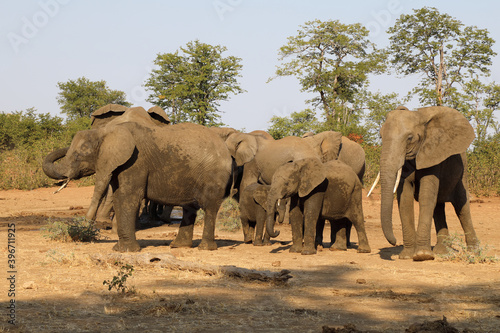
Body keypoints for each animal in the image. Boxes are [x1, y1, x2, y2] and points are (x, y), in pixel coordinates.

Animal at [42, 107, 232, 250]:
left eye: (78, 155)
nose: (82, 227)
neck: (105, 133)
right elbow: (119, 196)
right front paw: (119, 249)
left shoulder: (135, 162)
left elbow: (127, 197)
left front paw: (126, 251)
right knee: (189, 208)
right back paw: (177, 246)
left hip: (214, 174)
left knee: (209, 207)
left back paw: (205, 248)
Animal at [378, 105, 480, 260]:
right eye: (381, 136)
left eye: (409, 138)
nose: (394, 242)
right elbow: (405, 199)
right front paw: (407, 256)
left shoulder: (433, 153)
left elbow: (426, 196)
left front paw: (422, 255)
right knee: (438, 207)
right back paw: (442, 251)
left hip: (463, 172)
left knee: (462, 207)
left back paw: (474, 252)